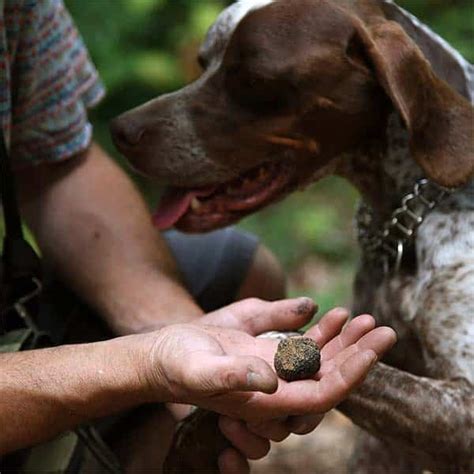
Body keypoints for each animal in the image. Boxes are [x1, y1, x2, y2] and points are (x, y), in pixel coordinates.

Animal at [109, 0, 472, 470]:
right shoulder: (384, 447)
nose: (121, 131)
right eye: (203, 62)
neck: (405, 215)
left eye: (252, 79)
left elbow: (365, 371)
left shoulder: (460, 410)